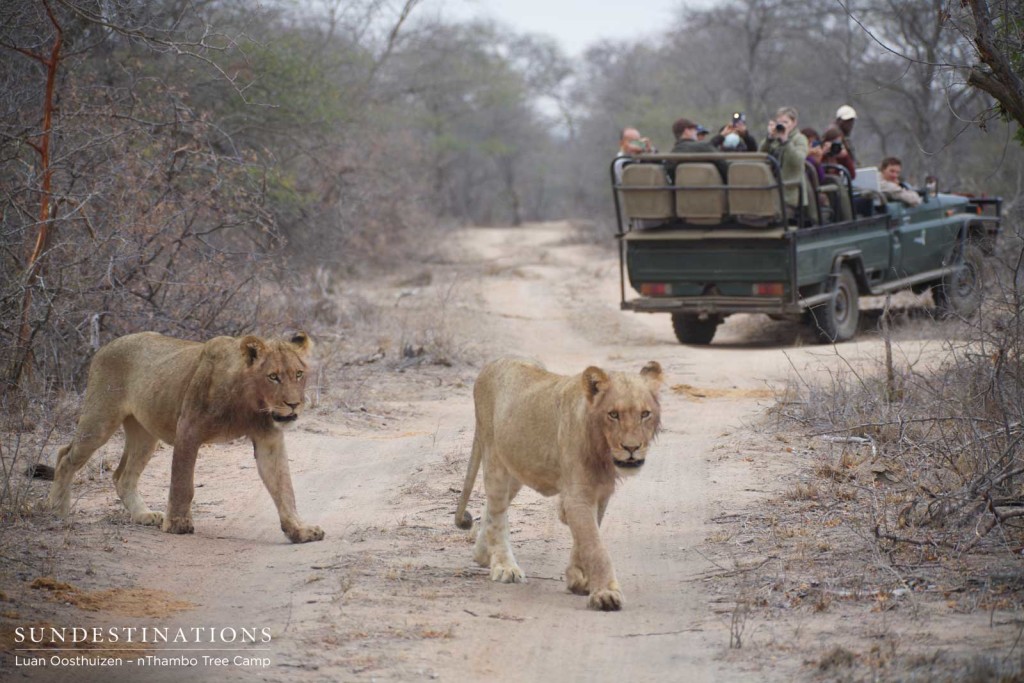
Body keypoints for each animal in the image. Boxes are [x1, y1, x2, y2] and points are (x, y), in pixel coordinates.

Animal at [44, 331, 321, 544]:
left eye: (298, 374)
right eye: (273, 377)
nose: (294, 404)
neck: (250, 403)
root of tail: (106, 346)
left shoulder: (269, 439)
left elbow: (284, 487)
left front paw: (299, 530)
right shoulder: (188, 430)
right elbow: (182, 483)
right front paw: (178, 523)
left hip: (145, 435)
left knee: (123, 477)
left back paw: (144, 515)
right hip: (100, 419)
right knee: (65, 456)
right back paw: (56, 509)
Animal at [454, 358, 663, 614]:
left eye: (645, 414)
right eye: (613, 414)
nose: (631, 448)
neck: (603, 450)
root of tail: (491, 364)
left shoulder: (601, 493)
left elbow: (587, 535)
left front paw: (578, 579)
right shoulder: (578, 495)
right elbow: (595, 545)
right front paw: (605, 593)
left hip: (518, 468)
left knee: (492, 510)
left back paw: (483, 554)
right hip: (495, 458)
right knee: (497, 512)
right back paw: (504, 566)